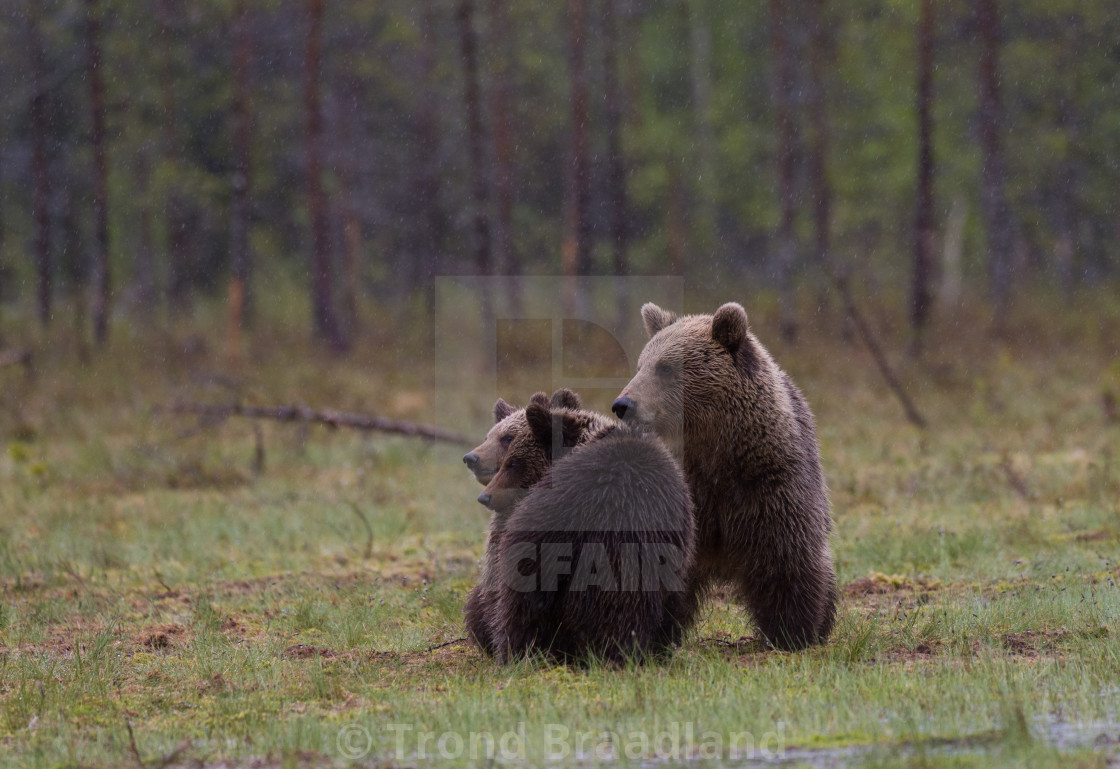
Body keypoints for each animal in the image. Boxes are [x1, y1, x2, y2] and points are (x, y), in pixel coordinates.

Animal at [609, 299, 837, 649]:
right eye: (640, 365)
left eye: (665, 367)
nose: (623, 404)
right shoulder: (682, 495)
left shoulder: (768, 484)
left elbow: (786, 556)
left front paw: (790, 632)